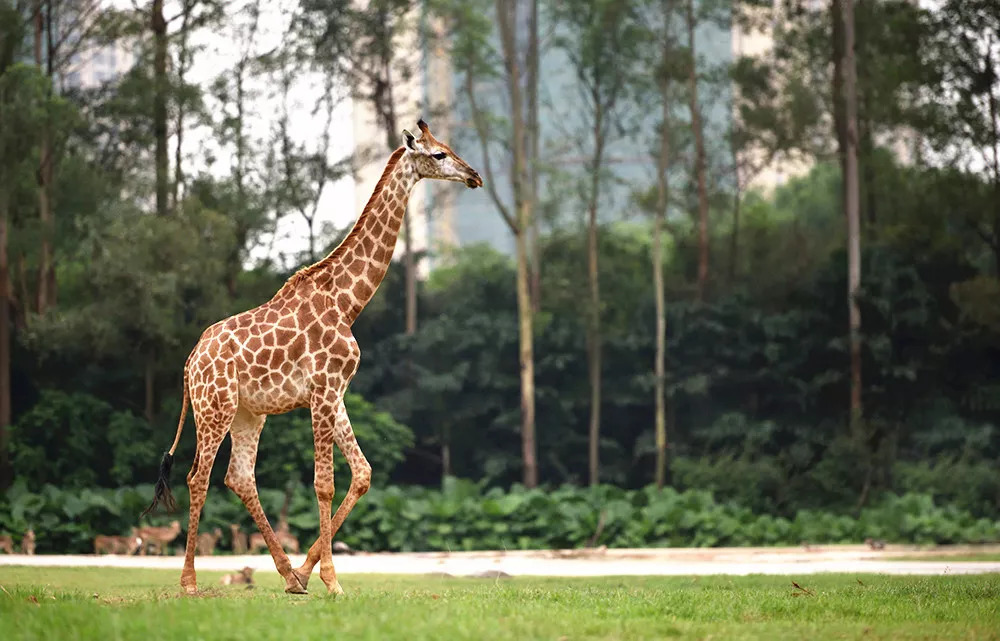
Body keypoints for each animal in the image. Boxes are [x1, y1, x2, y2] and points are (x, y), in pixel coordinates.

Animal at [143, 119, 482, 596]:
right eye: (438, 155)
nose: (474, 176)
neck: (347, 302)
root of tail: (191, 362)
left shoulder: (334, 393)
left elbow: (363, 473)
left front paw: (306, 573)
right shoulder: (322, 390)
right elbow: (324, 483)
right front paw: (332, 581)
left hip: (249, 413)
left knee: (238, 476)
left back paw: (288, 575)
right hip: (215, 407)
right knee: (198, 477)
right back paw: (189, 582)